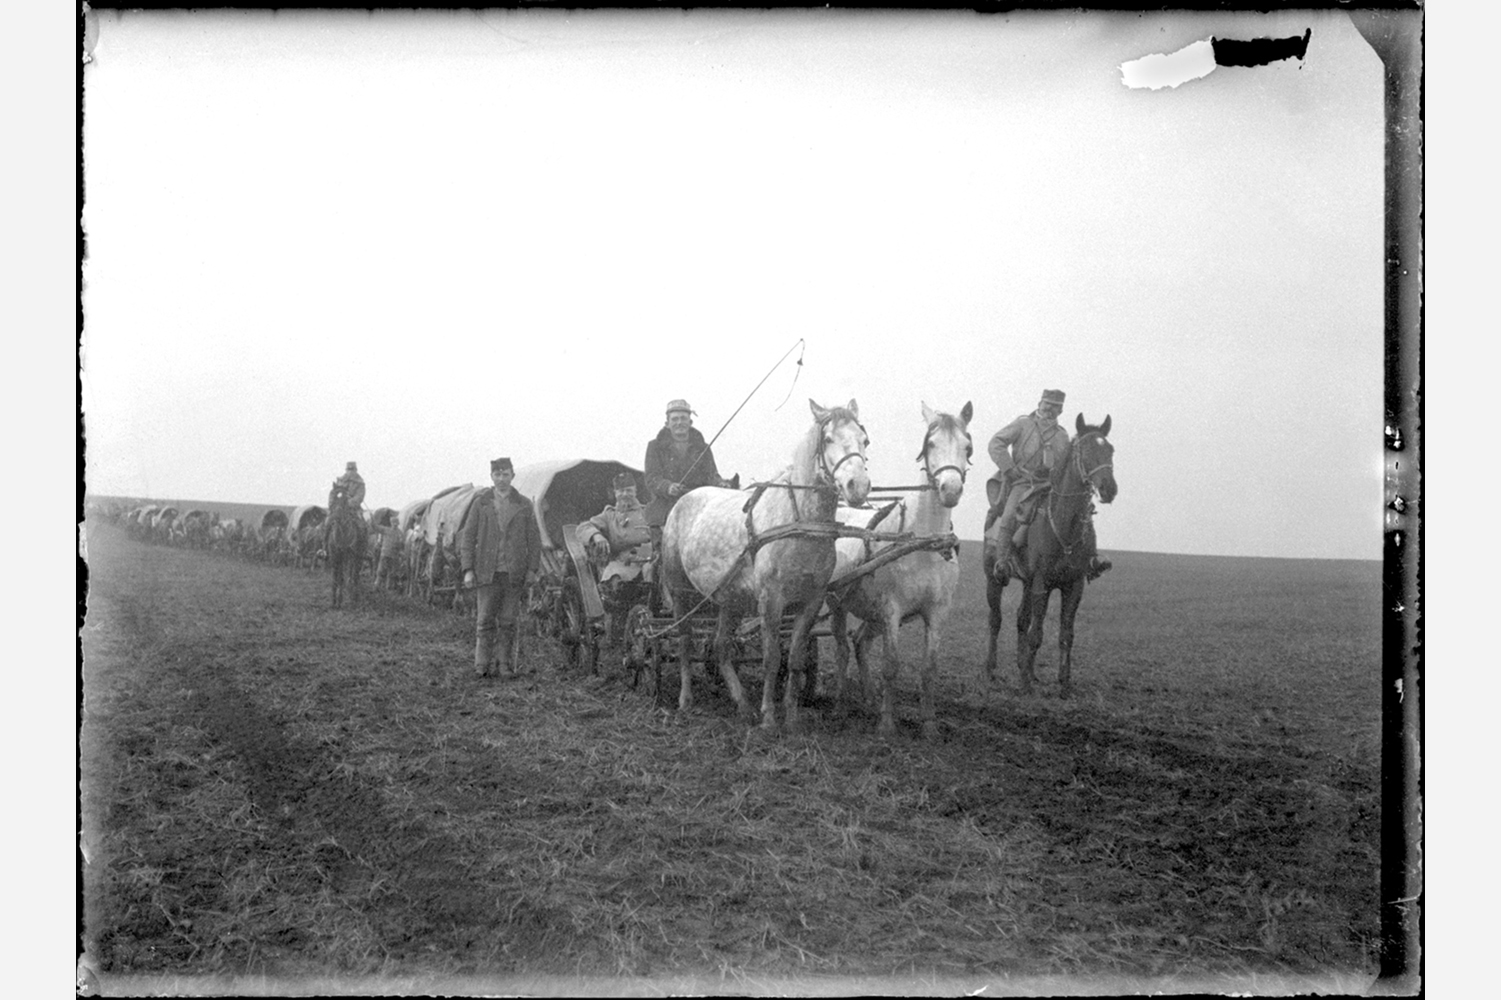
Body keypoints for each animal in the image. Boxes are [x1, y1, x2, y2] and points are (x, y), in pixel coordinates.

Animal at [663, 396, 876, 732]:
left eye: (864, 439)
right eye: (828, 439)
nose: (858, 486)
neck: (801, 523)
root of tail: (682, 500)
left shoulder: (811, 601)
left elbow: (795, 659)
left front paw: (792, 716)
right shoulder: (771, 600)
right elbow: (772, 658)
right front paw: (769, 717)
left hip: (729, 600)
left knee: (721, 646)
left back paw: (741, 704)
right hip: (681, 592)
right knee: (685, 642)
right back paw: (686, 699)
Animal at [822, 402, 972, 735]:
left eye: (967, 446)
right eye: (931, 444)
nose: (950, 489)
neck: (923, 545)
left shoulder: (936, 613)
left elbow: (929, 669)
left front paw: (928, 724)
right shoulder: (892, 610)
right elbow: (891, 665)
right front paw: (887, 724)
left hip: (871, 613)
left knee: (860, 643)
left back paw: (868, 698)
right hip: (837, 603)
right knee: (842, 648)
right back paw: (839, 705)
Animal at [984, 411, 1116, 693]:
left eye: (1110, 449)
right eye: (1085, 450)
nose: (1109, 489)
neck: (1064, 524)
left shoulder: (1073, 586)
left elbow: (1066, 635)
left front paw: (1063, 683)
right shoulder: (1041, 584)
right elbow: (1037, 633)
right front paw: (1025, 685)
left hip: (1025, 583)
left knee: (1021, 620)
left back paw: (1026, 668)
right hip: (993, 579)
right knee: (996, 620)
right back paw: (991, 669)